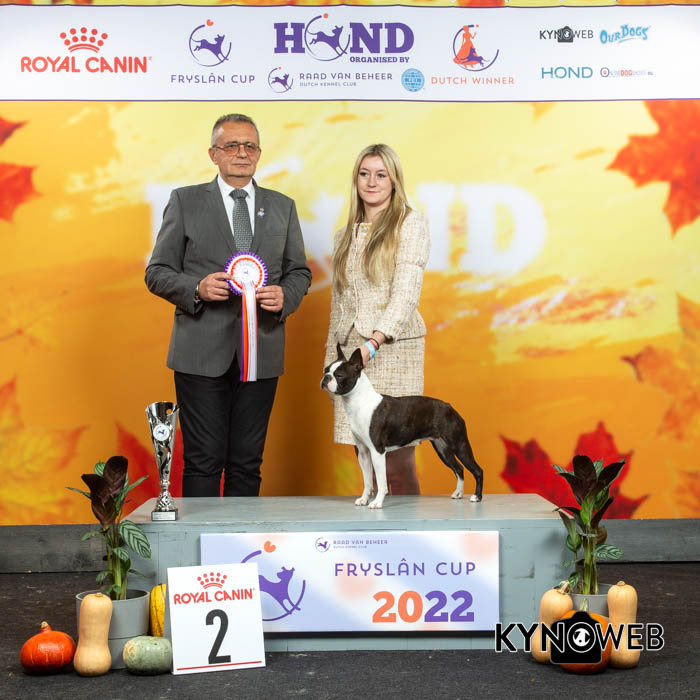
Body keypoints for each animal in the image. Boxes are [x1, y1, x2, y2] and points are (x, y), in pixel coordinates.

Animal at [321, 344, 483, 509]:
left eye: (339, 375)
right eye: (325, 370)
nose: (326, 377)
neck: (359, 401)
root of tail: (451, 408)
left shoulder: (377, 451)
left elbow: (381, 482)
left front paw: (377, 502)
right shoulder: (363, 452)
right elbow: (367, 481)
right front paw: (364, 499)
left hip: (459, 445)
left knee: (477, 470)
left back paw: (477, 497)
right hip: (443, 449)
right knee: (459, 468)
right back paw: (459, 493)